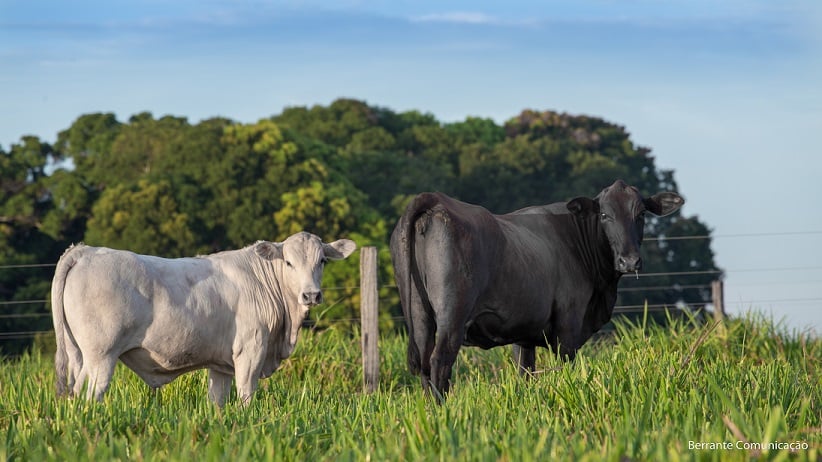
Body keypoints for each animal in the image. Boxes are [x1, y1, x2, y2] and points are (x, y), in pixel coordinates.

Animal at [51, 231, 358, 404]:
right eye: (289, 262)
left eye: (322, 261)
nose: (311, 295)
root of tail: (86, 250)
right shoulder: (251, 351)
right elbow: (246, 396)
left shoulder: (221, 365)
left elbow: (217, 402)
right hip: (100, 356)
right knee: (88, 394)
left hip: (77, 353)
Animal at [390, 179, 684, 396]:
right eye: (604, 215)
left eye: (641, 214)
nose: (629, 261)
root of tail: (436, 199)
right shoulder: (568, 325)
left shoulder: (524, 333)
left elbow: (525, 373)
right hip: (452, 315)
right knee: (439, 363)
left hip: (419, 315)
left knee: (425, 365)